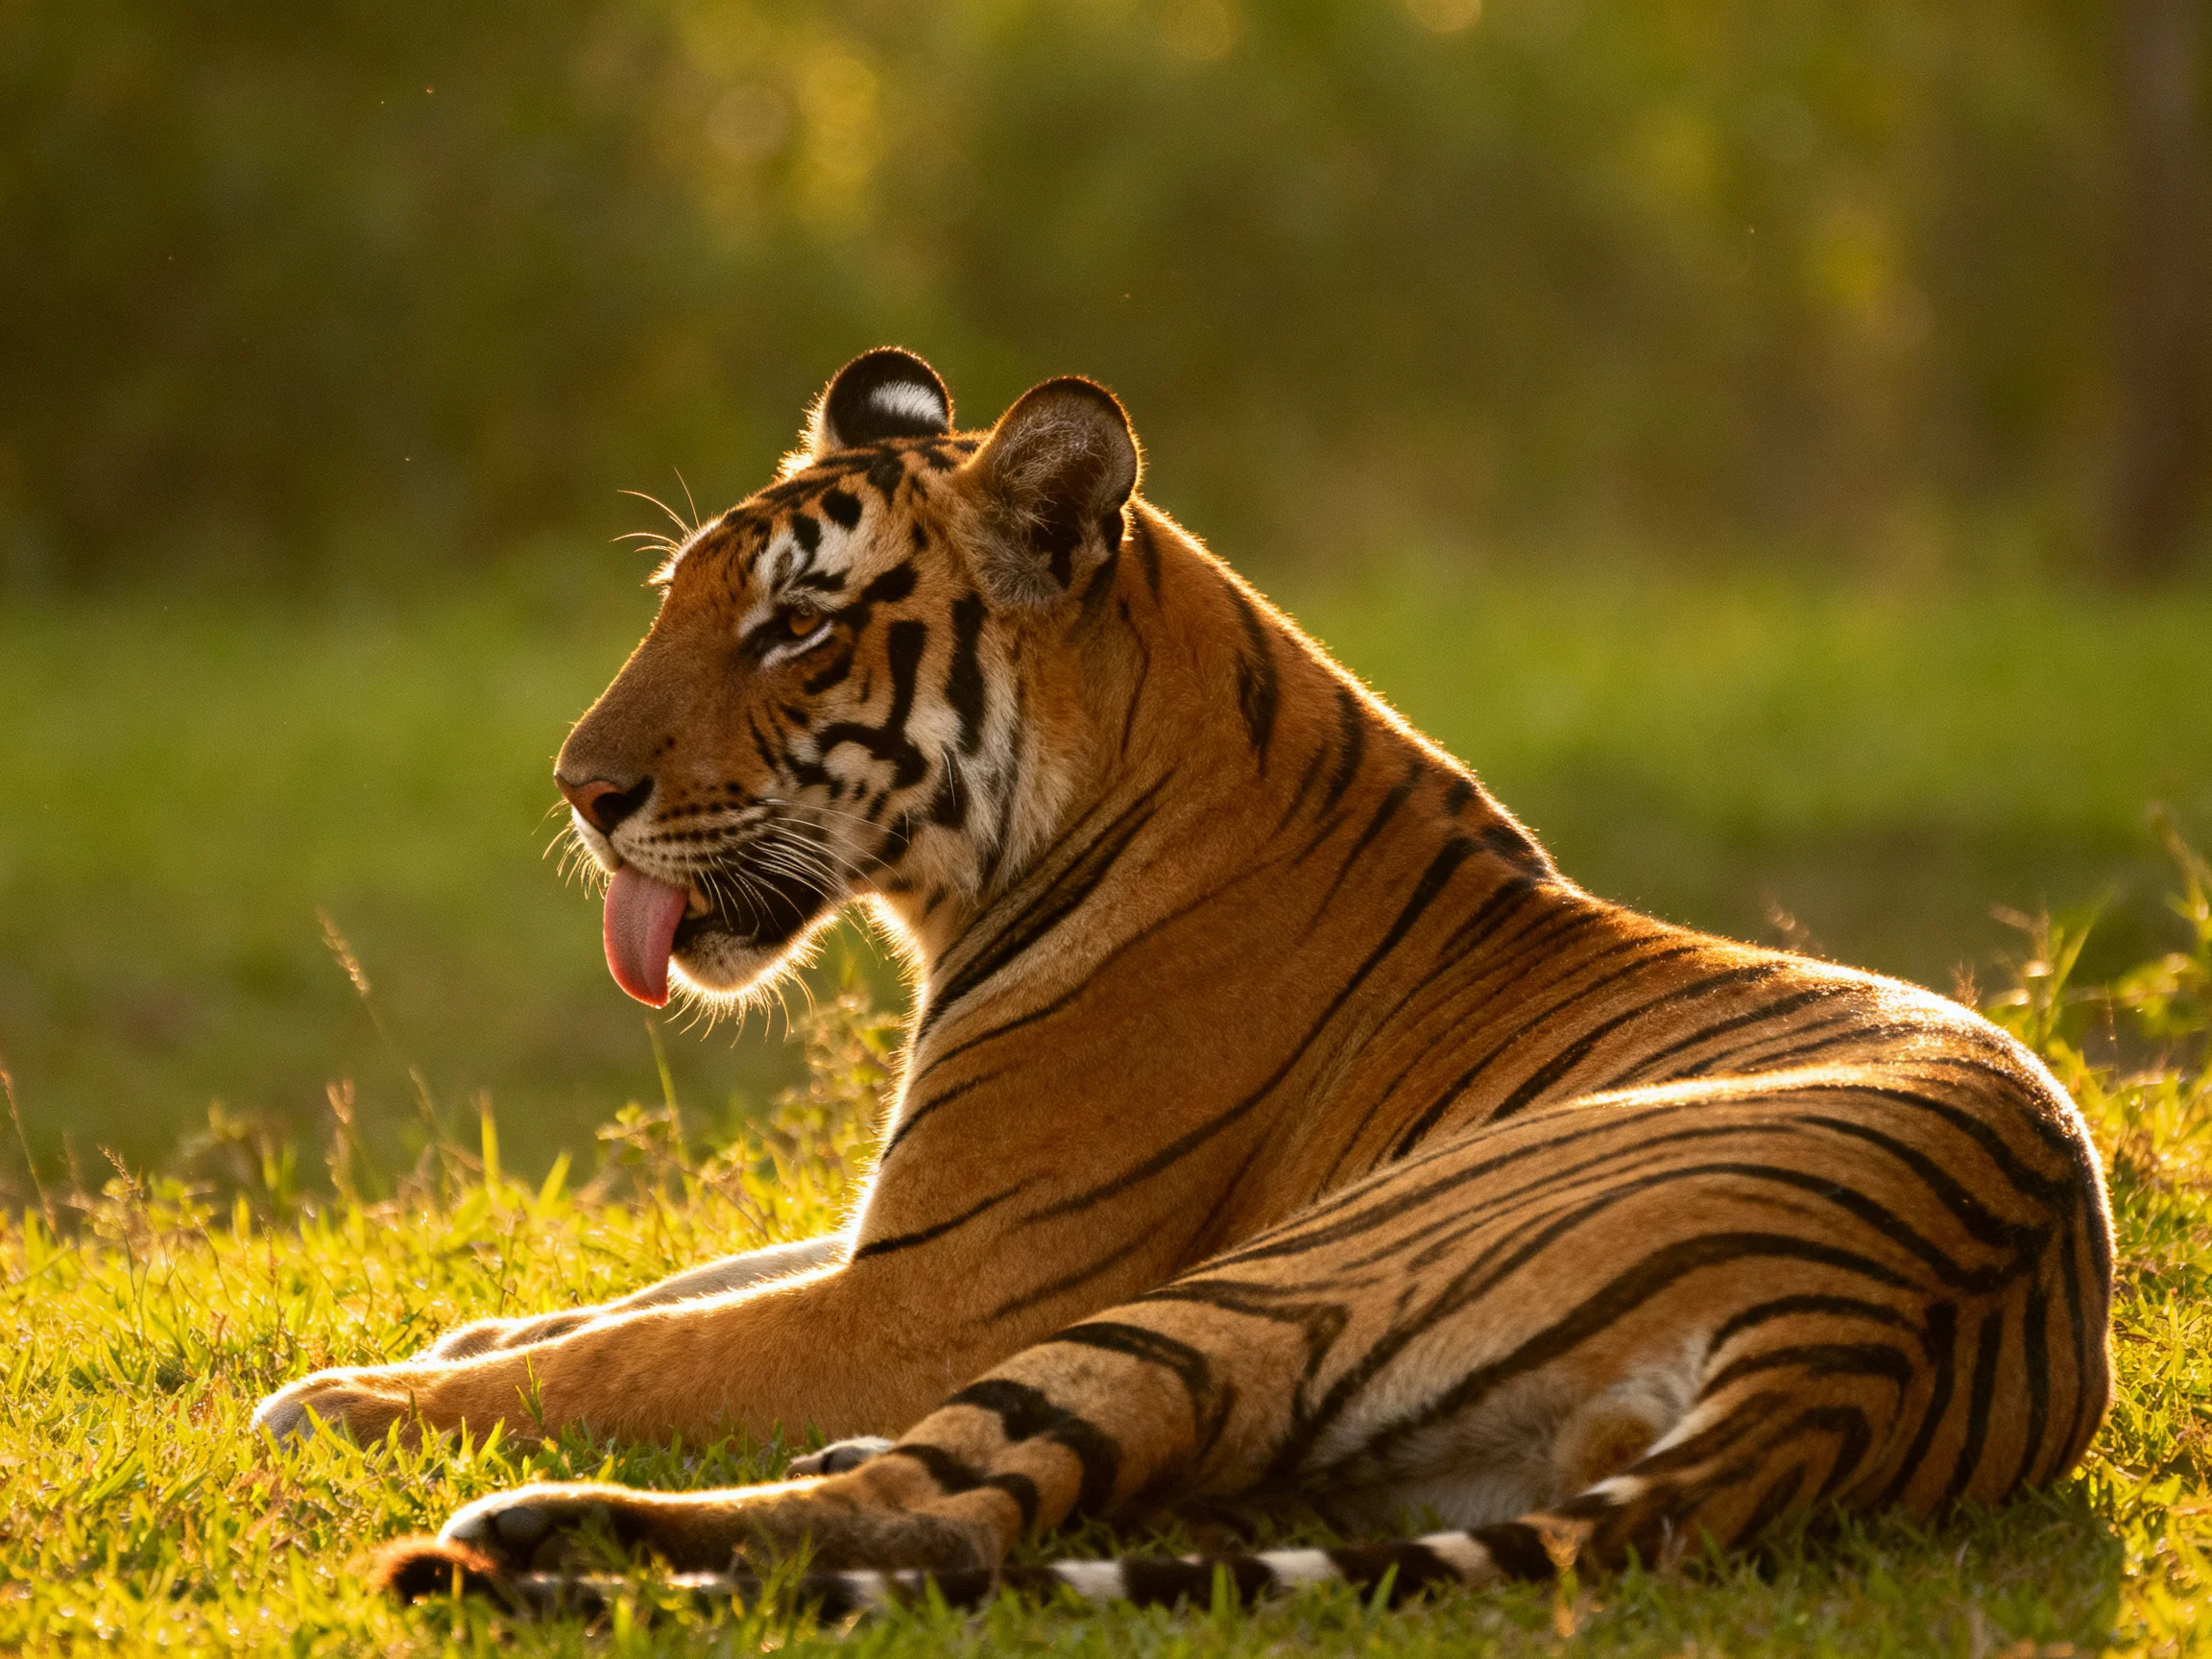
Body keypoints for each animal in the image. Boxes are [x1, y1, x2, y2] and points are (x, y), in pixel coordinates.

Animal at [253, 347, 2114, 1617]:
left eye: (797, 628)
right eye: (677, 600)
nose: (579, 788)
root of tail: (1865, 1346)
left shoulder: (937, 1287)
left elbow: (639, 1356)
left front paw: (349, 1391)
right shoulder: (894, 1233)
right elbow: (659, 1288)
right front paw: (471, 1322)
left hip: (1278, 1273)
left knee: (945, 1512)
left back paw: (516, 1529)